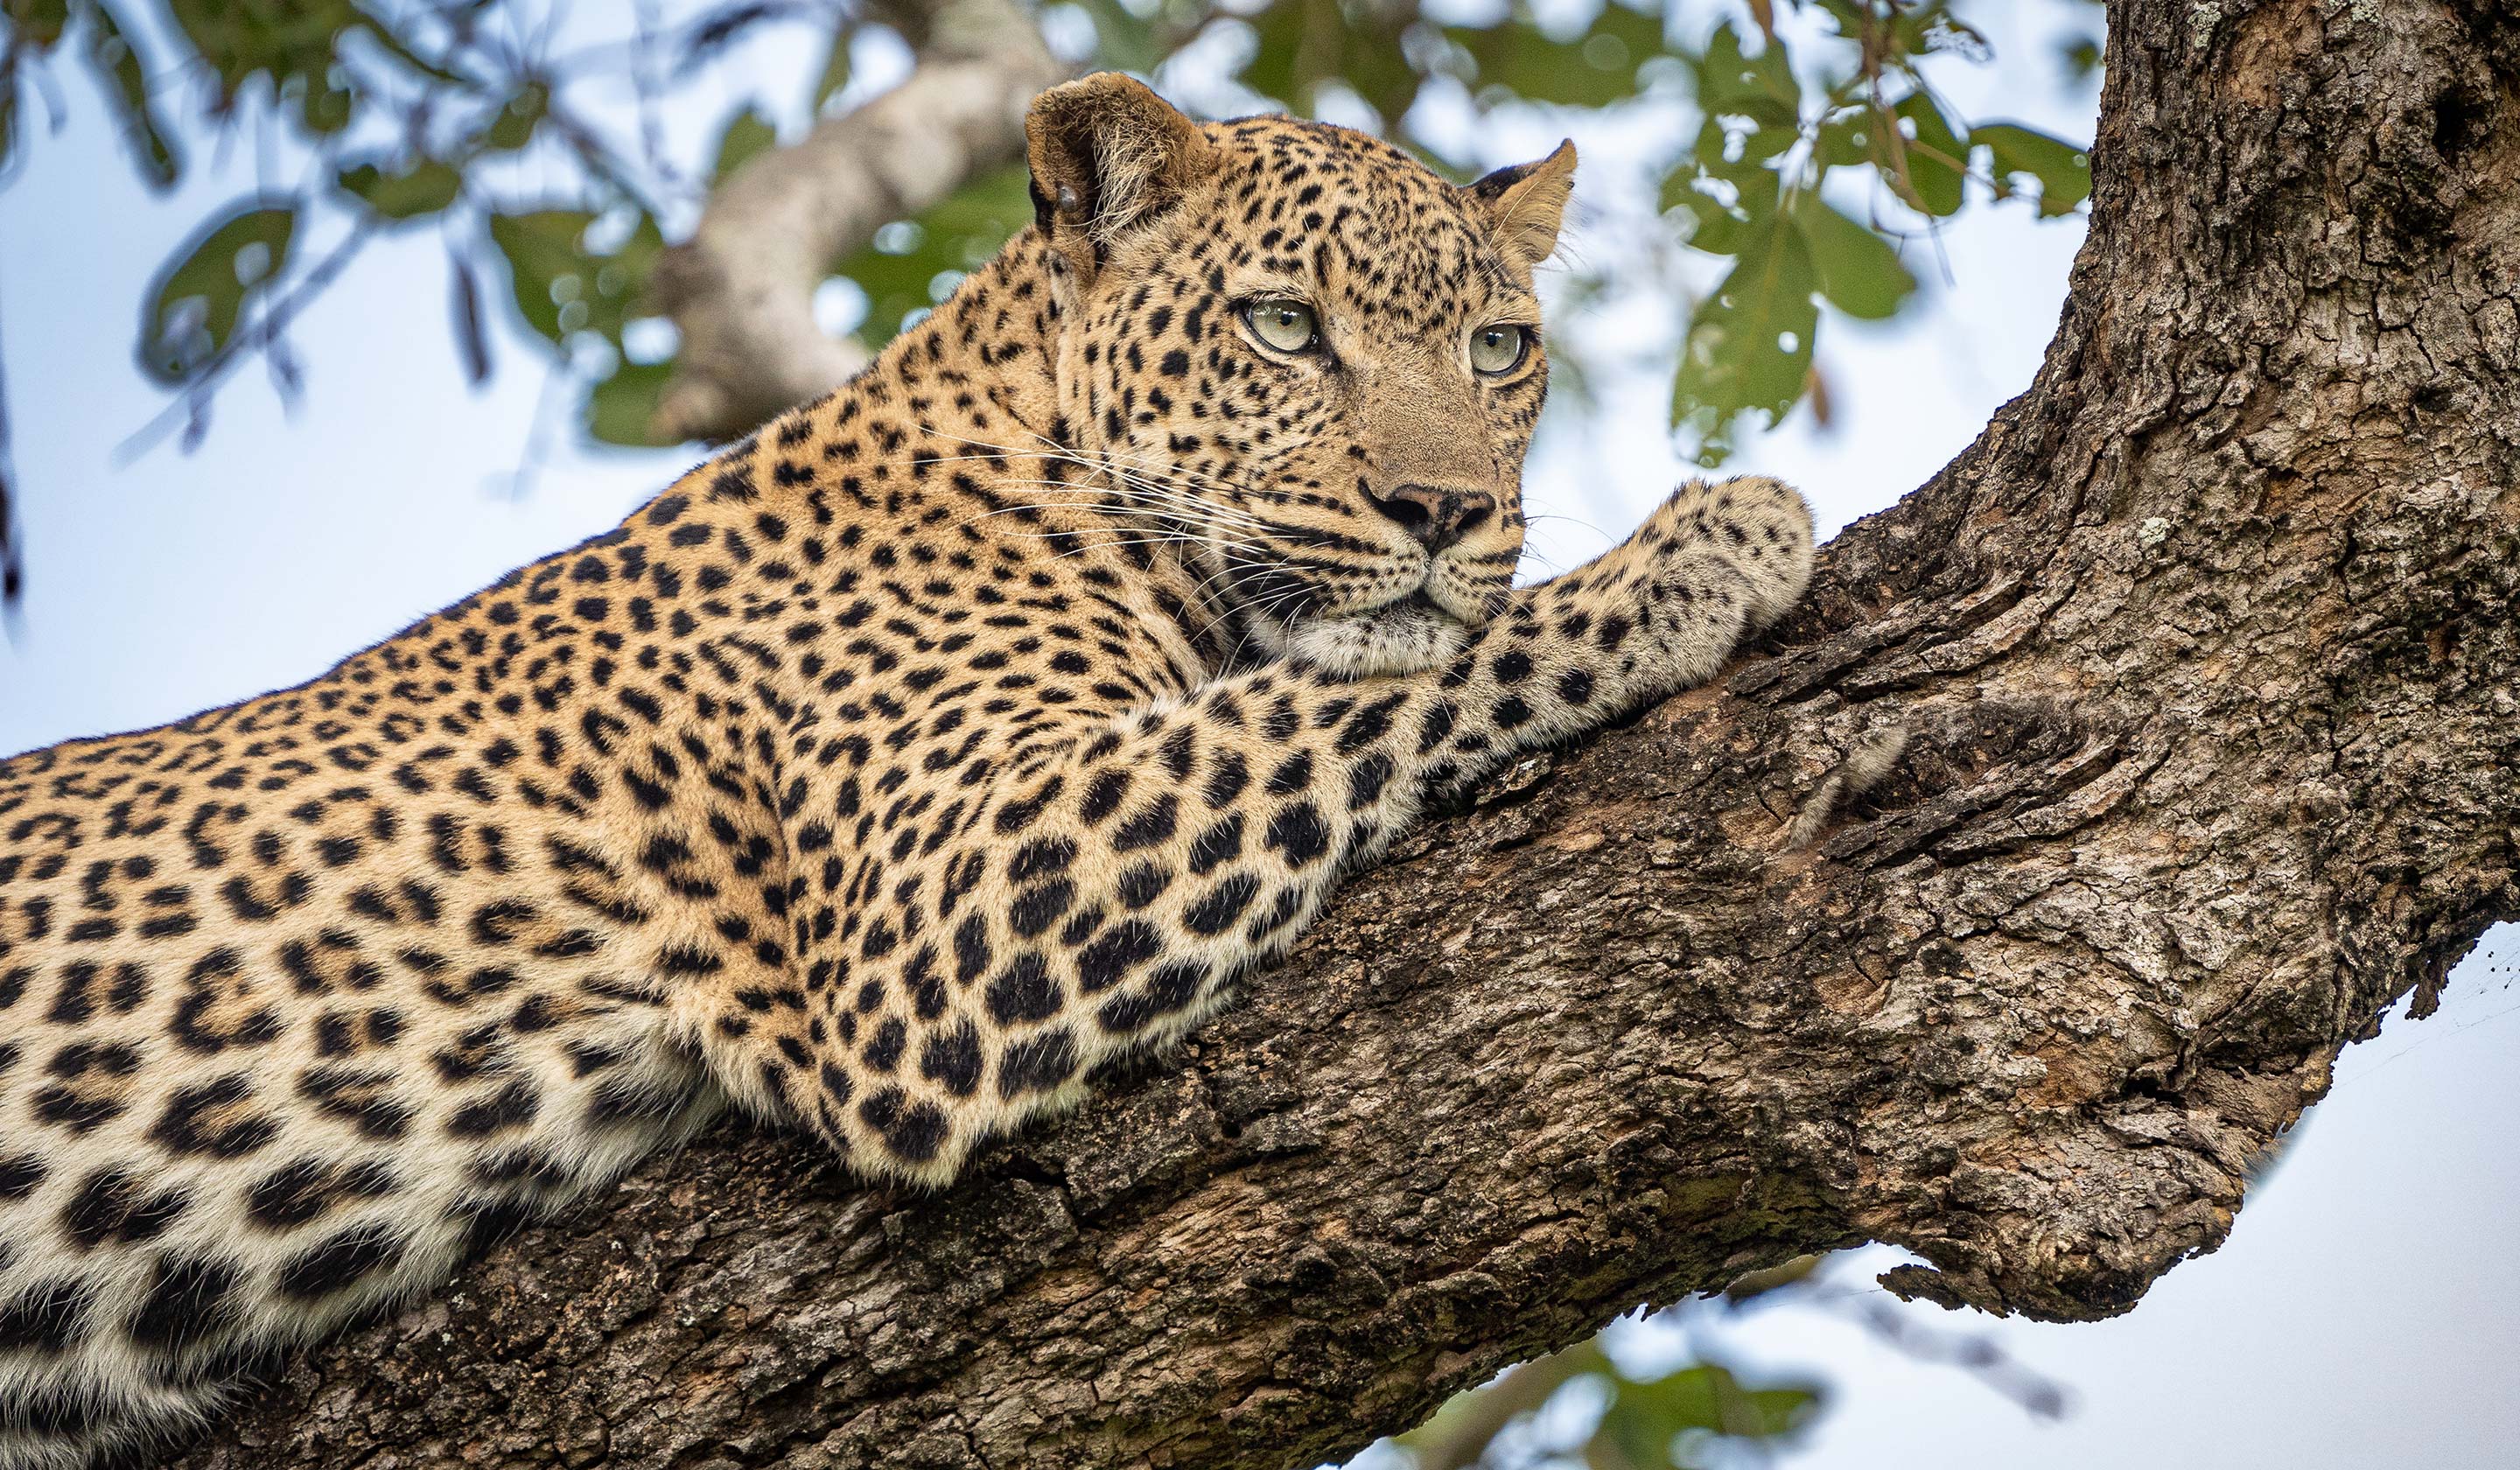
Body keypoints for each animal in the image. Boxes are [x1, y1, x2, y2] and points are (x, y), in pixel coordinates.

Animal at [0, 73, 1813, 1467]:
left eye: (1501, 352)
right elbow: (1352, 691)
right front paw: (1706, 542)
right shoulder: (940, 910)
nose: (1447, 512)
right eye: (1285, 330)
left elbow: (1352, 674)